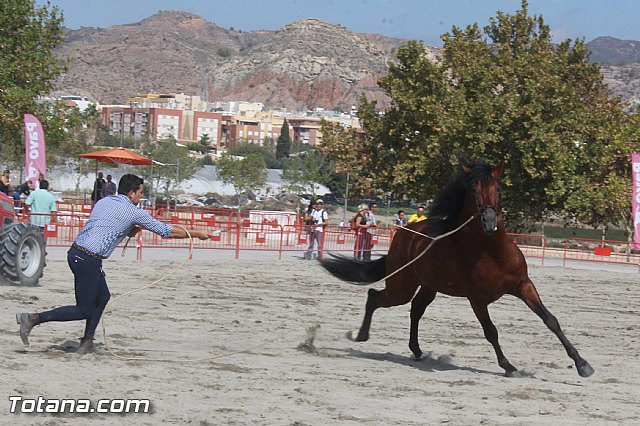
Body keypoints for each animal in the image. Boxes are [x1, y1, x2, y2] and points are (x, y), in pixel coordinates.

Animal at [321, 160, 594, 378]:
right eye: (473, 190)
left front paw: (583, 365)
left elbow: (551, 320)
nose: (489, 222)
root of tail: (405, 233)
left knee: (415, 310)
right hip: (402, 287)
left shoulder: (524, 285)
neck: (492, 252)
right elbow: (491, 331)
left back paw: (417, 351)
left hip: (428, 287)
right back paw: (360, 335)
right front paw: (509, 367)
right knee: (375, 297)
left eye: (498, 188)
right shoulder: (477, 299)